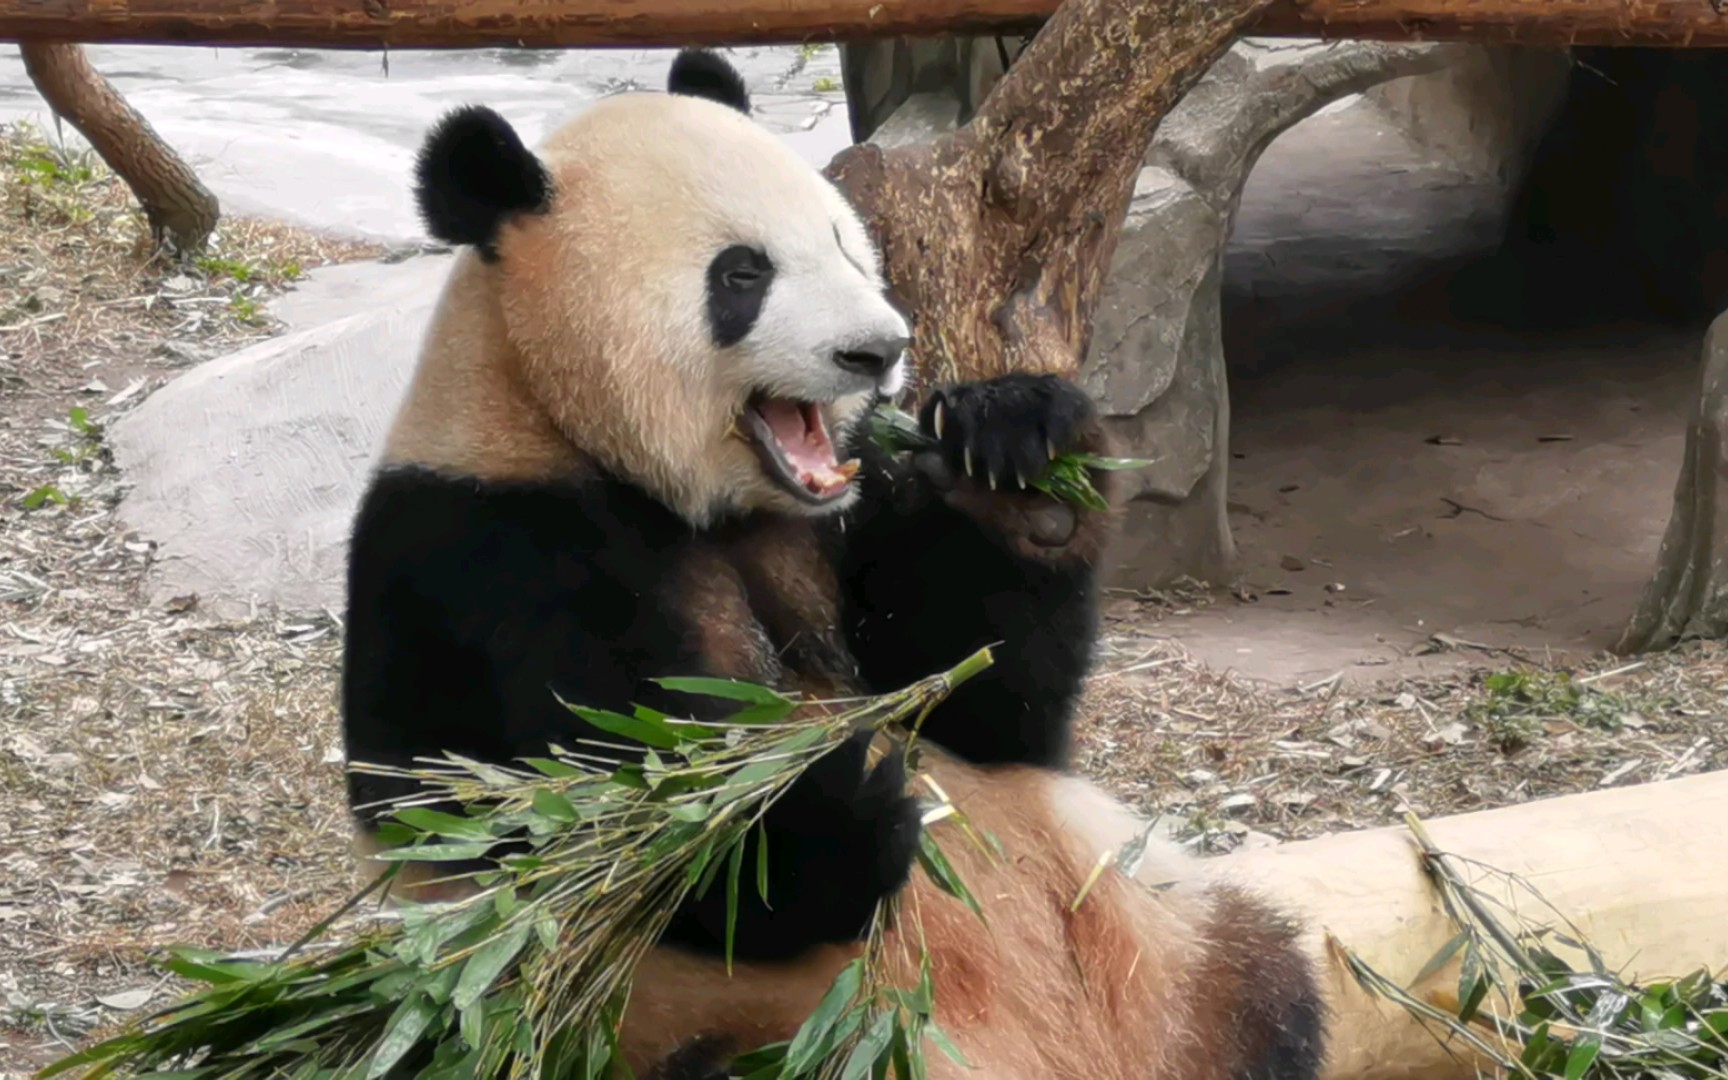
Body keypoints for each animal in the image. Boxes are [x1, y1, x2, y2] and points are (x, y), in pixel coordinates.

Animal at [343, 46, 1327, 1078]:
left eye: (844, 244)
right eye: (743, 275)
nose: (878, 351)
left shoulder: (841, 519)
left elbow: (980, 706)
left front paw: (1022, 466)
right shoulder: (492, 550)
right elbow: (614, 817)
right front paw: (845, 794)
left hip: (1154, 941)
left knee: (1265, 984)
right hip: (764, 1035)